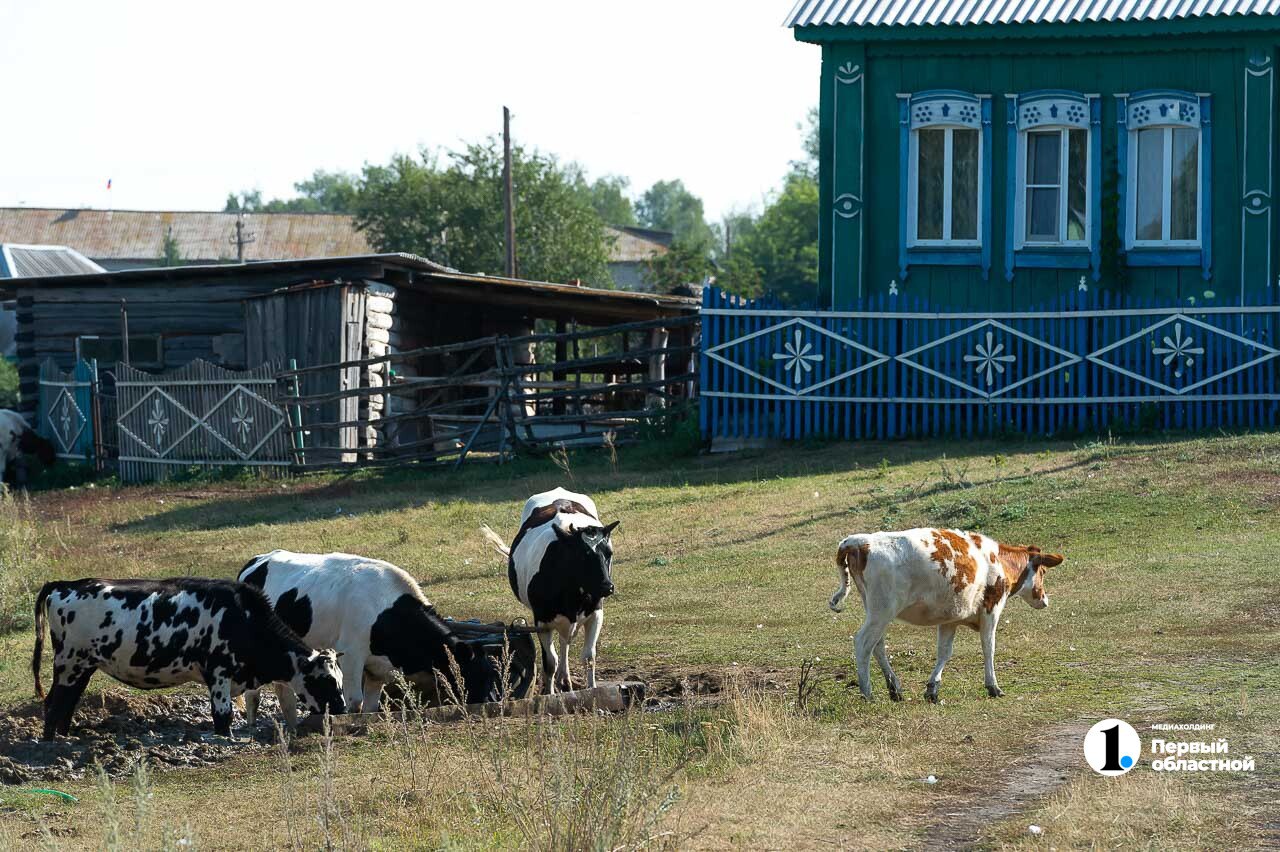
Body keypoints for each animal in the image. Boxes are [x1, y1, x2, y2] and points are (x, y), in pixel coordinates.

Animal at [33, 578, 345, 736]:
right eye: (325, 681)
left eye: (340, 678)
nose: (341, 708)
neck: (242, 617)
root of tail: (66, 585)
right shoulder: (218, 674)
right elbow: (222, 717)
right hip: (69, 664)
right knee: (54, 705)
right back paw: (52, 745)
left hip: (83, 667)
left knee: (67, 705)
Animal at [239, 547, 504, 721]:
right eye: (477, 674)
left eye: (493, 674)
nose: (493, 702)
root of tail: (258, 559)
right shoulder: (351, 655)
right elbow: (354, 701)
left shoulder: (378, 670)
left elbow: (370, 706)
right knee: (253, 693)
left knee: (284, 692)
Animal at [481, 488, 619, 695]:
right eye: (582, 555)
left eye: (608, 553)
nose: (606, 586)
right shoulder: (541, 620)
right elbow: (550, 662)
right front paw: (549, 694)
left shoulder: (596, 612)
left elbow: (588, 657)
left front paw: (592, 689)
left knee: (565, 641)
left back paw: (565, 679)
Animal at [829, 527, 1059, 701]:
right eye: (1043, 572)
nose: (1045, 600)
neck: (999, 562)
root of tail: (859, 540)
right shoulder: (991, 609)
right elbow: (989, 647)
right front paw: (993, 686)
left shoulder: (951, 618)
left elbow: (944, 652)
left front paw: (932, 689)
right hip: (882, 610)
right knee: (863, 643)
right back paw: (868, 693)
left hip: (876, 610)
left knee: (877, 646)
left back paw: (895, 689)